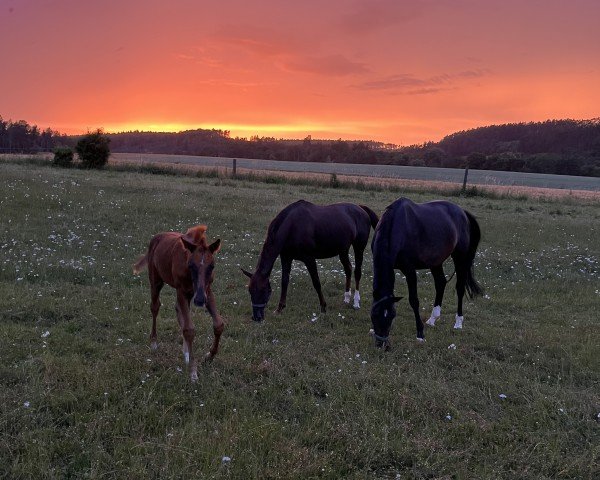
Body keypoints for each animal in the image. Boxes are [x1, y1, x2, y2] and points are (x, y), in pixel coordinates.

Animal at [132, 226, 224, 382]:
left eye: (212, 266)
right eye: (191, 265)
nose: (200, 300)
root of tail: (158, 236)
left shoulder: (207, 291)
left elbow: (218, 324)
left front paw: (209, 357)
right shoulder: (181, 290)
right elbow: (189, 329)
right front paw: (193, 373)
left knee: (178, 310)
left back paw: (186, 351)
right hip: (156, 282)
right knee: (155, 307)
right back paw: (154, 342)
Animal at [240, 201, 378, 320]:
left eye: (264, 290)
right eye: (250, 291)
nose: (257, 317)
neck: (291, 226)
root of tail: (361, 208)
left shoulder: (309, 259)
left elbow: (316, 282)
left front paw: (323, 308)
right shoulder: (286, 257)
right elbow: (284, 281)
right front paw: (279, 309)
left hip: (359, 247)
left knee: (357, 272)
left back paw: (356, 302)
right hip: (343, 250)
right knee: (348, 269)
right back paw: (346, 298)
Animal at [370, 197, 482, 346]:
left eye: (392, 315)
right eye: (374, 315)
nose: (380, 344)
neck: (397, 228)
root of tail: (462, 212)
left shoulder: (409, 270)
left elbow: (414, 300)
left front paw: (420, 334)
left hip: (460, 257)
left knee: (460, 287)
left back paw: (458, 322)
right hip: (436, 261)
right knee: (440, 283)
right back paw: (432, 319)